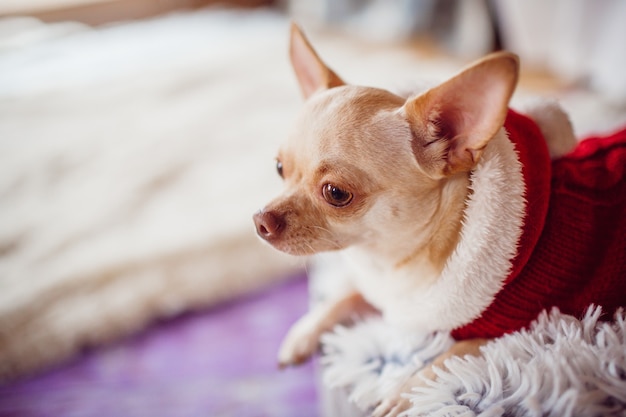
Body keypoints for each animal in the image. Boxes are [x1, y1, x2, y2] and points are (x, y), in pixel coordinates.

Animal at [251, 24, 620, 414]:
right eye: (279, 169)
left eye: (336, 193)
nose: (260, 221)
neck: (396, 261)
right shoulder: (398, 299)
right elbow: (347, 296)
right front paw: (304, 331)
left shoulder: (521, 329)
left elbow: (449, 359)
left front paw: (404, 396)